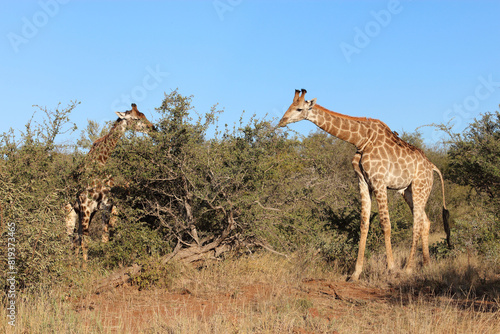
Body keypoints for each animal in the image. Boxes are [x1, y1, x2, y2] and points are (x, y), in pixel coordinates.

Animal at [66, 103, 154, 260]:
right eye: (136, 118)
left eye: (143, 115)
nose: (153, 128)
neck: (100, 163)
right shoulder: (85, 206)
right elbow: (85, 242)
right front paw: (85, 266)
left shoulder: (105, 206)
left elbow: (104, 239)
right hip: (70, 210)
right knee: (70, 239)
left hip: (85, 212)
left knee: (76, 238)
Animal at [280, 88, 452, 280]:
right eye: (289, 106)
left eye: (299, 109)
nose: (281, 121)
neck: (361, 140)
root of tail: (432, 167)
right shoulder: (363, 182)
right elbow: (364, 224)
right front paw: (355, 273)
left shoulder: (379, 181)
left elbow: (385, 223)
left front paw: (391, 268)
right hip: (407, 191)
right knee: (425, 221)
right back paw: (426, 264)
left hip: (420, 187)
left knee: (417, 223)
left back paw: (407, 268)